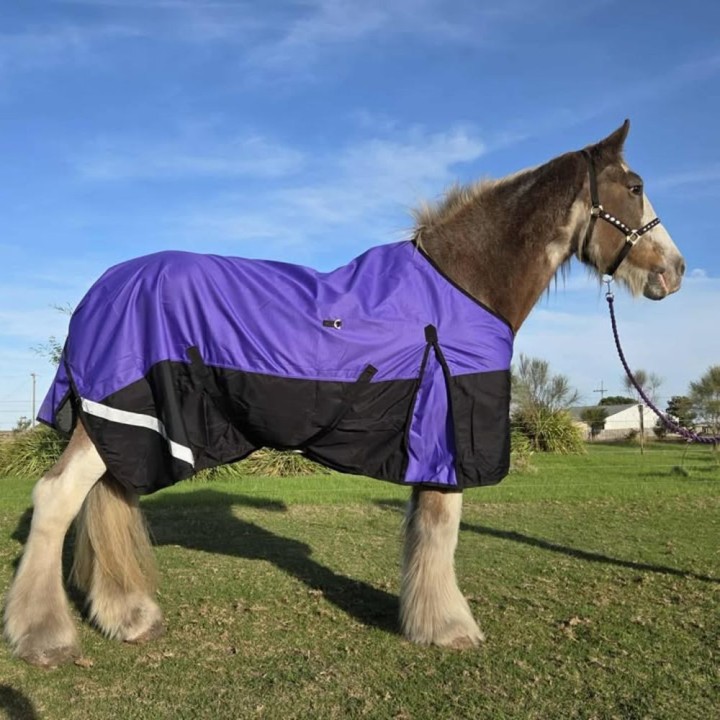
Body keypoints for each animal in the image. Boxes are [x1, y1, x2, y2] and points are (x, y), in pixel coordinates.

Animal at [4, 120, 684, 667]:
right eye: (634, 186)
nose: (675, 271)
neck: (461, 284)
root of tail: (99, 292)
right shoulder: (447, 435)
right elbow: (442, 528)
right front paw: (449, 627)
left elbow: (426, 529)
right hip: (115, 416)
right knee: (56, 499)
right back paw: (43, 638)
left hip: (126, 426)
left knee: (108, 498)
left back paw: (127, 617)